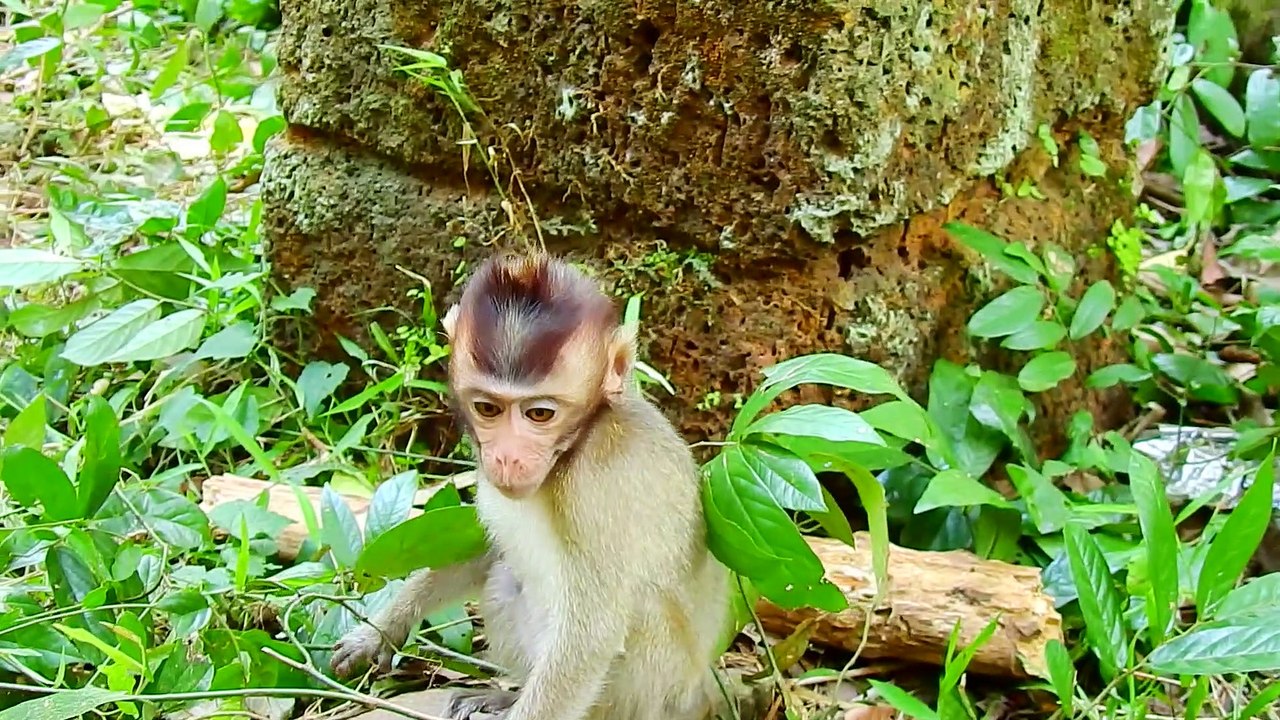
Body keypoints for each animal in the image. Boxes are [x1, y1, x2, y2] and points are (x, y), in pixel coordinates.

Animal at [330, 253, 738, 720]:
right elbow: (486, 552)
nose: (507, 457)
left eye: (540, 414)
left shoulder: (598, 485)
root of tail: (699, 690)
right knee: (505, 578)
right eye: (487, 408)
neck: (571, 449)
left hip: (651, 687)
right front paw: (381, 630)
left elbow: (593, 634)